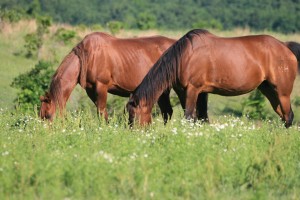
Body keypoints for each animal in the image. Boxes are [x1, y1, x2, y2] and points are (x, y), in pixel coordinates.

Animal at [39, 31, 176, 122]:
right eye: (41, 115)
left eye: (48, 115)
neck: (88, 56)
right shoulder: (91, 90)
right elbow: (102, 112)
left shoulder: (101, 87)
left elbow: (101, 112)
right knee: (167, 112)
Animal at [126, 28, 300, 127]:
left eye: (133, 116)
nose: (132, 133)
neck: (186, 56)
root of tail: (285, 46)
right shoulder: (190, 92)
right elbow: (201, 118)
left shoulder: (193, 90)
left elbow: (189, 118)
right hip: (269, 90)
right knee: (283, 115)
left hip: (283, 92)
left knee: (289, 117)